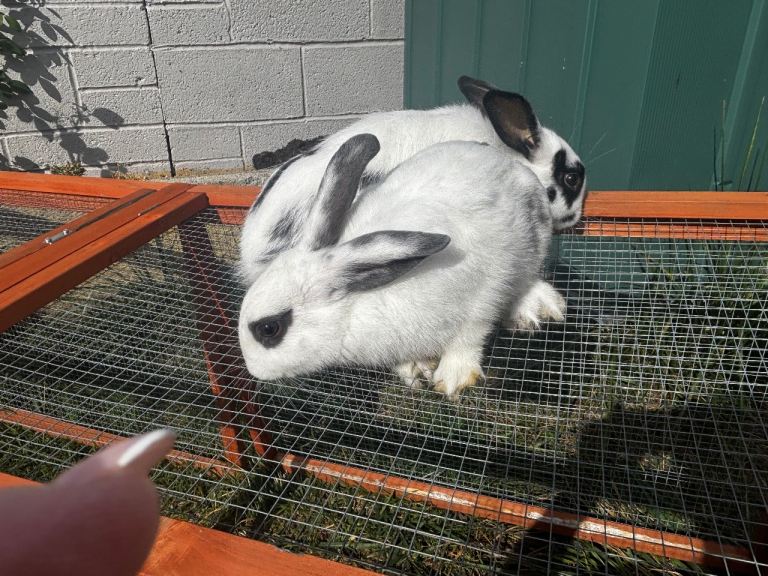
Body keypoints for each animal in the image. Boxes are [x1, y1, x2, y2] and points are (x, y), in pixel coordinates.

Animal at [238, 133, 554, 398]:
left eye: (269, 328)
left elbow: (467, 339)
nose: (254, 371)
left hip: (536, 239)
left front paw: (452, 381)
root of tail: (505, 161)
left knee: (528, 280)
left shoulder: (483, 298)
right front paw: (414, 370)